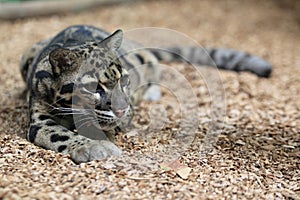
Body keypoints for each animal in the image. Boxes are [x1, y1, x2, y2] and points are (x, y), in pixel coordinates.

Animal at [20, 25, 272, 163]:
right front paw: (94, 146)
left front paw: (100, 140)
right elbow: (59, 133)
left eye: (125, 81)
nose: (123, 110)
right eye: (95, 88)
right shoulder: (40, 120)